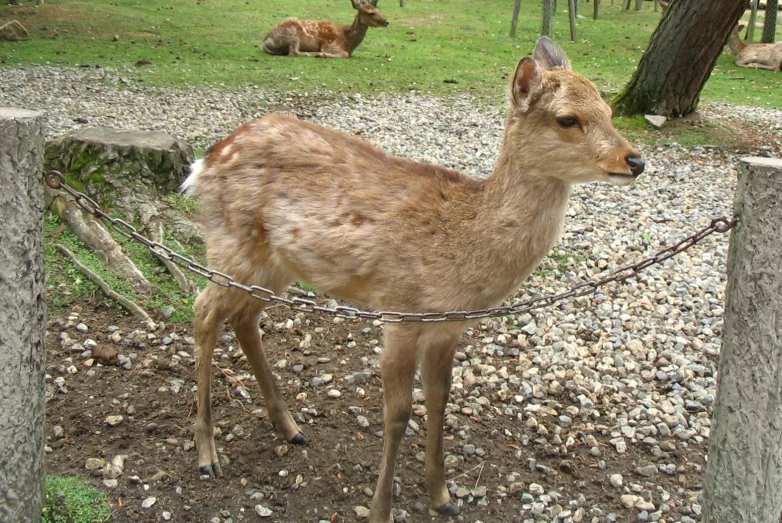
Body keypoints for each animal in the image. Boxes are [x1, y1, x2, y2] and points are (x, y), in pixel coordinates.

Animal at [184, 37, 644, 523]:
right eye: (568, 119)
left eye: (609, 110)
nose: (635, 160)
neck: (463, 250)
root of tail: (205, 161)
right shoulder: (400, 309)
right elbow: (399, 413)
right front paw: (380, 509)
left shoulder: (448, 326)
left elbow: (440, 400)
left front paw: (443, 495)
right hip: (230, 244)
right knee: (203, 313)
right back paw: (208, 454)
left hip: (275, 265)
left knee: (244, 318)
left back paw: (291, 428)